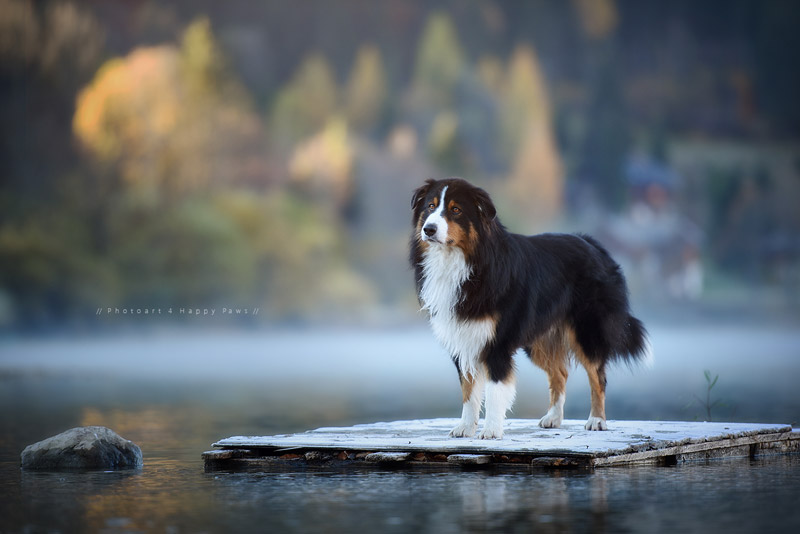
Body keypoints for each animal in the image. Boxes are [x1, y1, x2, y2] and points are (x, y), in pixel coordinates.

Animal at [410, 179, 648, 440]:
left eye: (456, 210)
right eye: (431, 206)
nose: (429, 229)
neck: (464, 262)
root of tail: (591, 243)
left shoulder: (497, 344)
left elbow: (494, 390)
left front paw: (491, 430)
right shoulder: (463, 337)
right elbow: (468, 389)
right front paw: (465, 427)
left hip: (586, 331)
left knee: (598, 376)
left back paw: (596, 420)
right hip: (539, 340)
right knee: (560, 373)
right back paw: (553, 418)